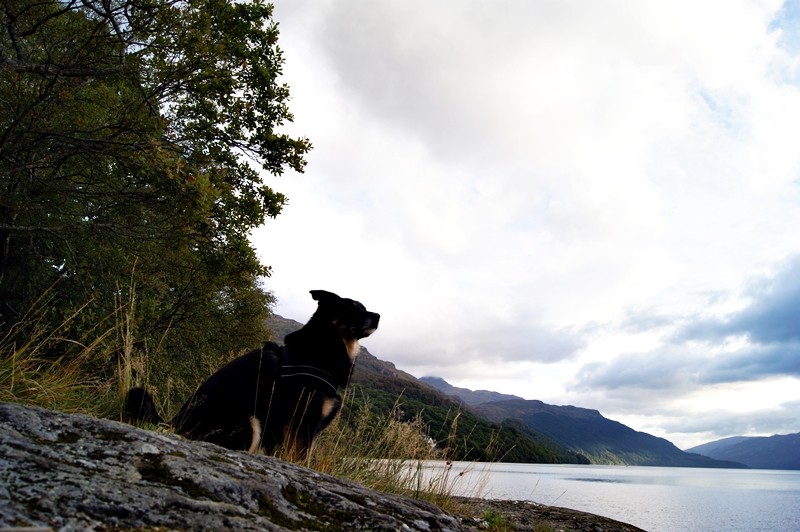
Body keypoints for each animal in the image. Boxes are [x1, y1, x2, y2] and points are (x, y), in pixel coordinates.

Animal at [123, 288, 380, 460]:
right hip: (248, 422)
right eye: (351, 309)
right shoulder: (301, 426)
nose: (378, 316)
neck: (325, 344)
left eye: (363, 306)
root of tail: (174, 423)